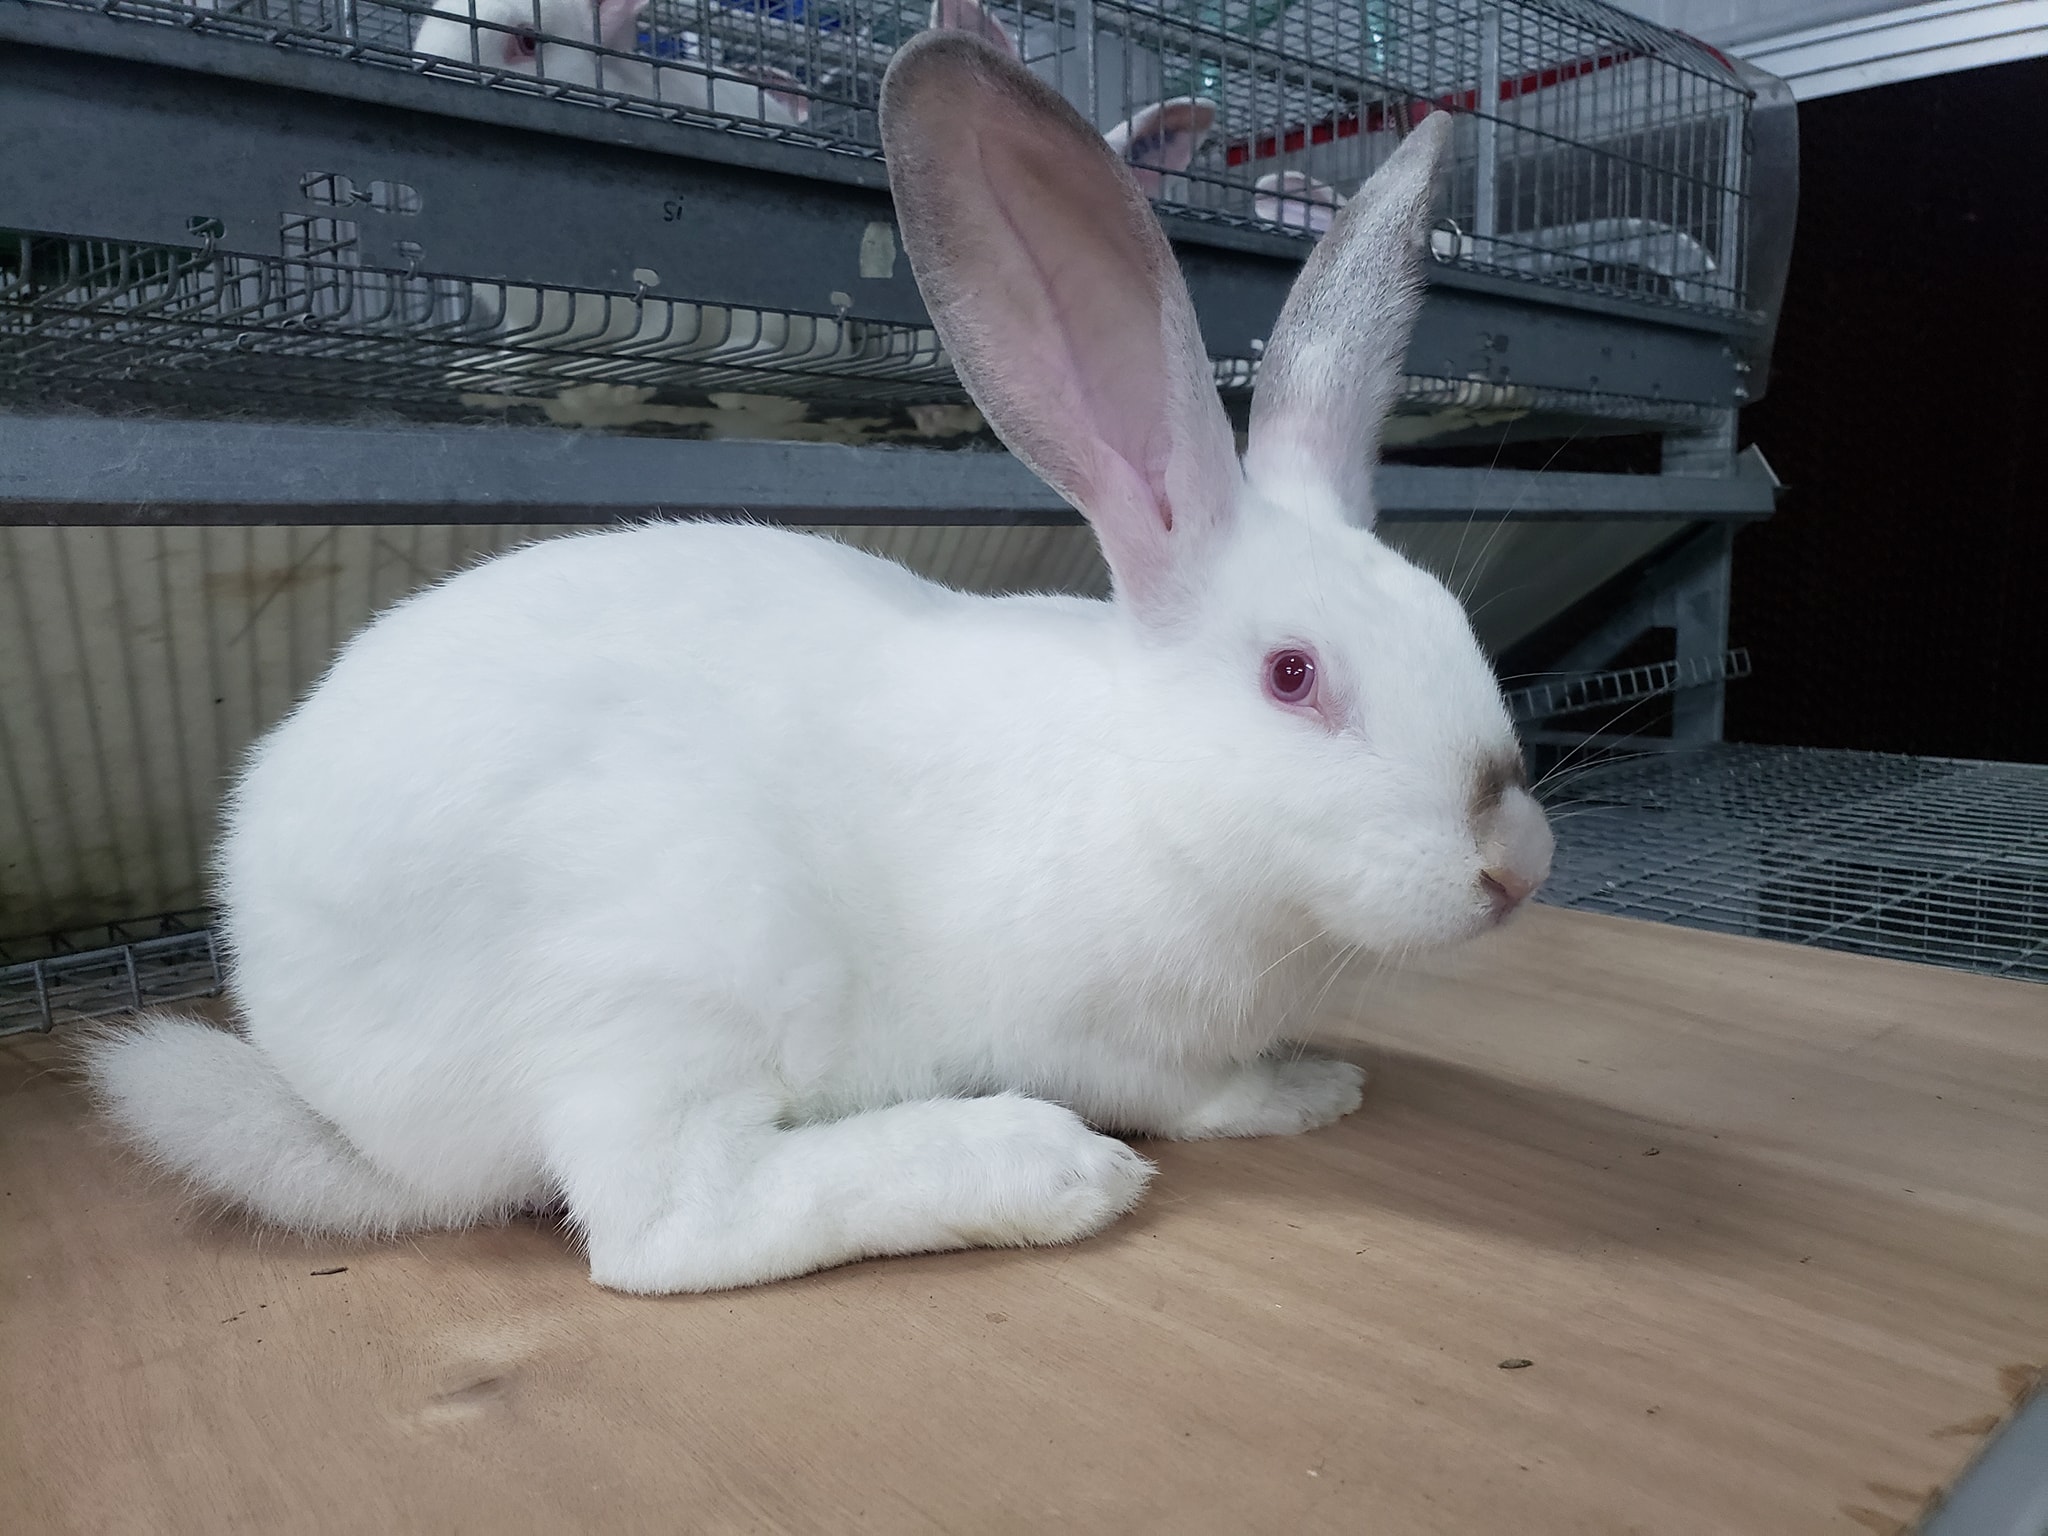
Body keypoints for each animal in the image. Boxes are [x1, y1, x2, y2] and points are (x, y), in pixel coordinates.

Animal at [84, 32, 1552, 1296]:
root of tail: (348, 1109)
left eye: (1448, 621)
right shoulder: (1099, 1030)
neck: (1144, 786)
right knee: (665, 1223)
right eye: (1292, 677)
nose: (1516, 859)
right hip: (667, 978)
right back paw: (1037, 1170)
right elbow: (1190, 1095)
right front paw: (1301, 1093)